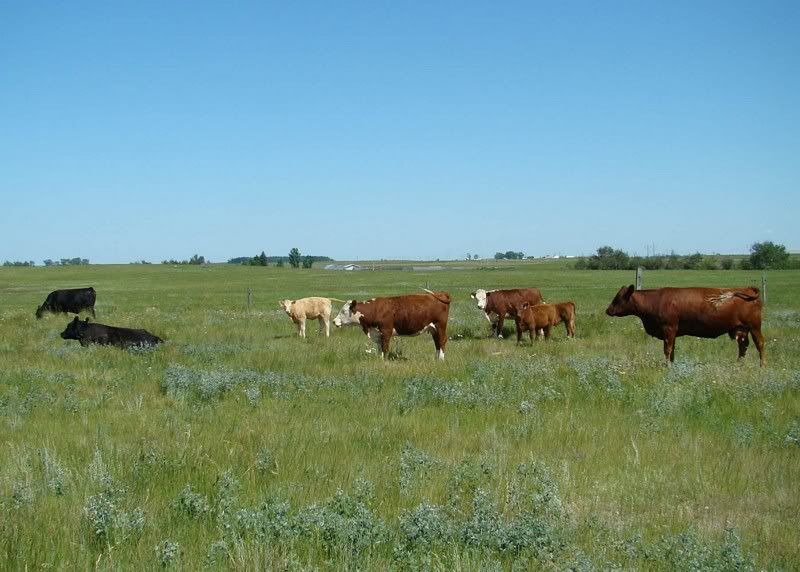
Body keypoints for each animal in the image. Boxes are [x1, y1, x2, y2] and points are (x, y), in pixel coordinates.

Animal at [605, 285, 765, 366]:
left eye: (618, 297)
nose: (608, 310)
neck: (655, 300)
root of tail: (748, 288)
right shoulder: (672, 332)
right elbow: (672, 351)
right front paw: (671, 365)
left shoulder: (669, 328)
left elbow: (667, 350)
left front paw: (667, 366)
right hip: (741, 329)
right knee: (743, 347)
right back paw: (738, 365)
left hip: (755, 327)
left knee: (760, 344)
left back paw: (762, 366)